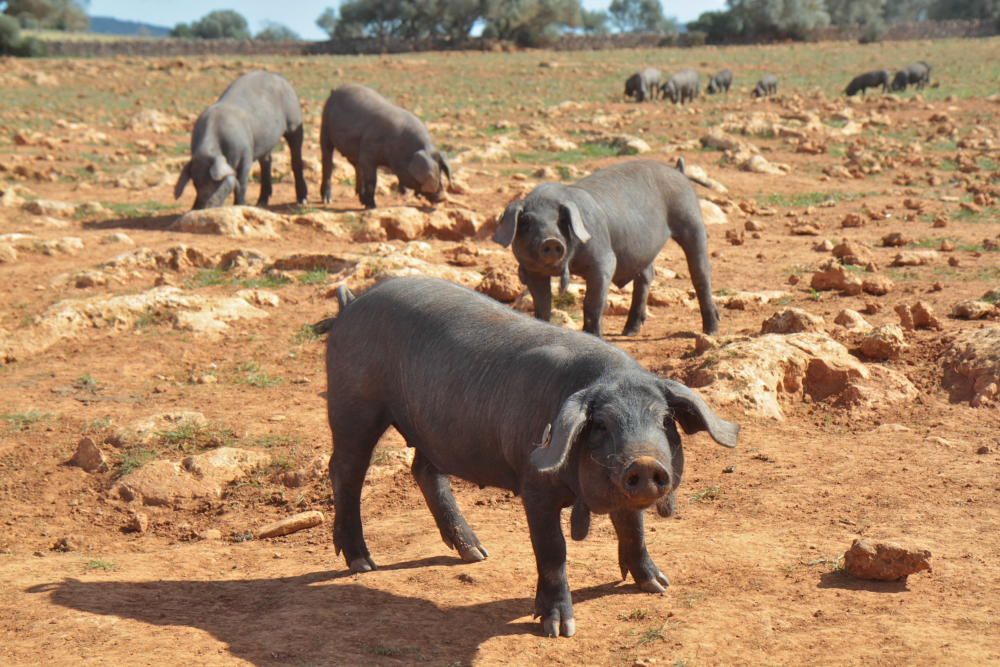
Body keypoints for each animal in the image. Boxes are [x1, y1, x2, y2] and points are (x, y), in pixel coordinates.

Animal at [176, 70, 306, 209]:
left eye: (215, 183)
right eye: (195, 183)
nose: (199, 208)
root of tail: (277, 76)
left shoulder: (246, 155)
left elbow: (242, 184)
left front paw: (240, 205)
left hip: (294, 121)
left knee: (296, 158)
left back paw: (302, 200)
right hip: (265, 141)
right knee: (266, 162)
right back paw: (261, 202)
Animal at [316, 280, 740, 640]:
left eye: (665, 420)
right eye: (601, 424)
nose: (644, 463)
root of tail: (352, 305)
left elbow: (633, 528)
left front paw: (658, 586)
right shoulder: (533, 484)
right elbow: (553, 549)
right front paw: (558, 629)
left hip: (433, 427)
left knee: (423, 469)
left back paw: (476, 553)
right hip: (354, 404)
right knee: (346, 470)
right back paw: (363, 563)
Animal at [320, 83, 454, 209]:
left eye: (440, 171)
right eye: (431, 175)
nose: (442, 197)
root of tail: (335, 90)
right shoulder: (367, 155)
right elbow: (372, 181)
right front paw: (372, 206)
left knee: (356, 168)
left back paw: (360, 197)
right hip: (325, 127)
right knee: (327, 163)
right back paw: (327, 200)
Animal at [492, 159, 720, 340]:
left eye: (561, 220)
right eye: (526, 222)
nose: (551, 241)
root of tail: (677, 170)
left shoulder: (604, 260)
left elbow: (592, 303)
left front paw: (594, 337)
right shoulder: (533, 271)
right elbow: (542, 305)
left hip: (691, 220)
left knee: (700, 273)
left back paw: (711, 330)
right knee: (646, 276)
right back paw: (629, 332)